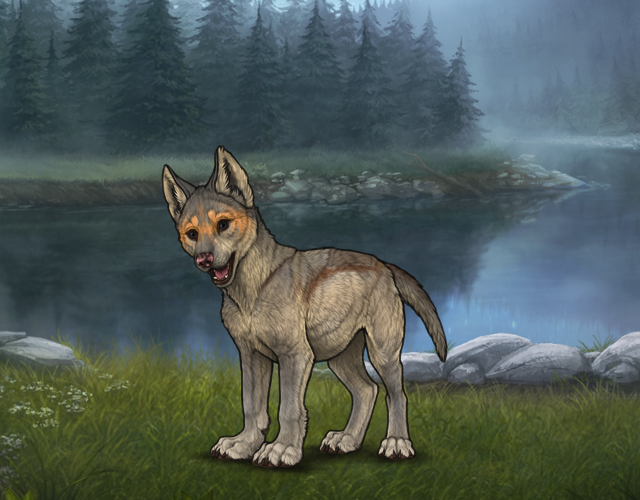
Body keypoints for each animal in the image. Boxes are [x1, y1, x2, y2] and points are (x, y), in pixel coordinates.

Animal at [162, 146, 447, 468]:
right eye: (192, 234)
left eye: (223, 225)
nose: (204, 260)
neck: (254, 288)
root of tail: (385, 265)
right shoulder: (251, 356)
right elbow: (251, 406)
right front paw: (244, 444)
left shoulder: (295, 355)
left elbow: (289, 408)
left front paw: (281, 449)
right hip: (341, 357)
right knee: (367, 390)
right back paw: (346, 440)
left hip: (382, 353)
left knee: (396, 395)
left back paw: (397, 443)